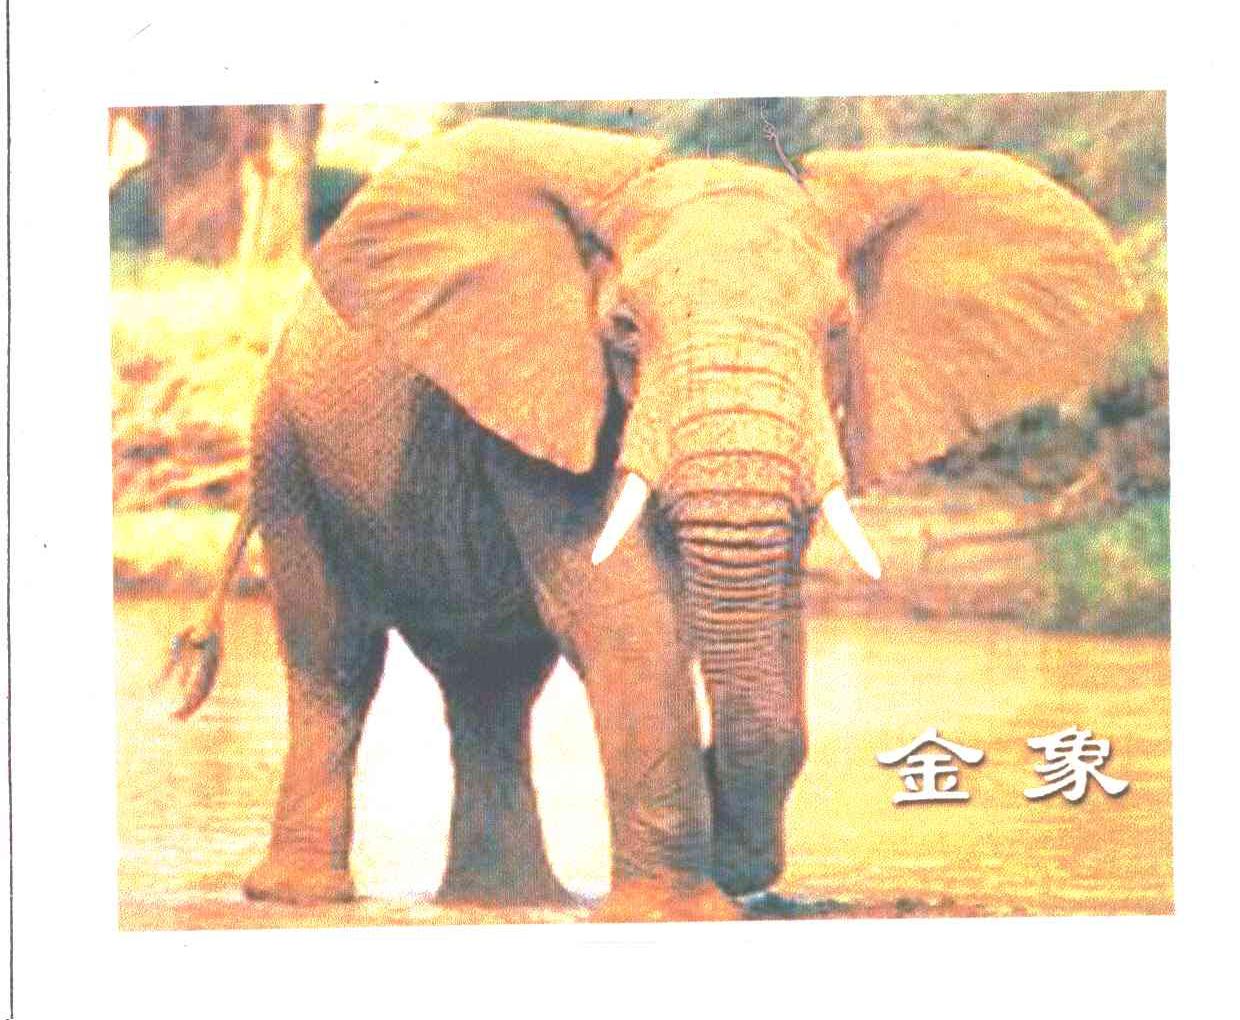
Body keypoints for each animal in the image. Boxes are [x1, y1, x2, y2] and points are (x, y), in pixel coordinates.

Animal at [161, 117, 1138, 921]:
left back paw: (511, 904)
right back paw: (305, 899)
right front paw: (682, 911)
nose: (715, 781)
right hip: (287, 450)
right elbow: (627, 617)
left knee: (491, 685)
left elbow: (773, 617)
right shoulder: (553, 389)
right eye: (625, 329)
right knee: (337, 656)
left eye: (836, 331)